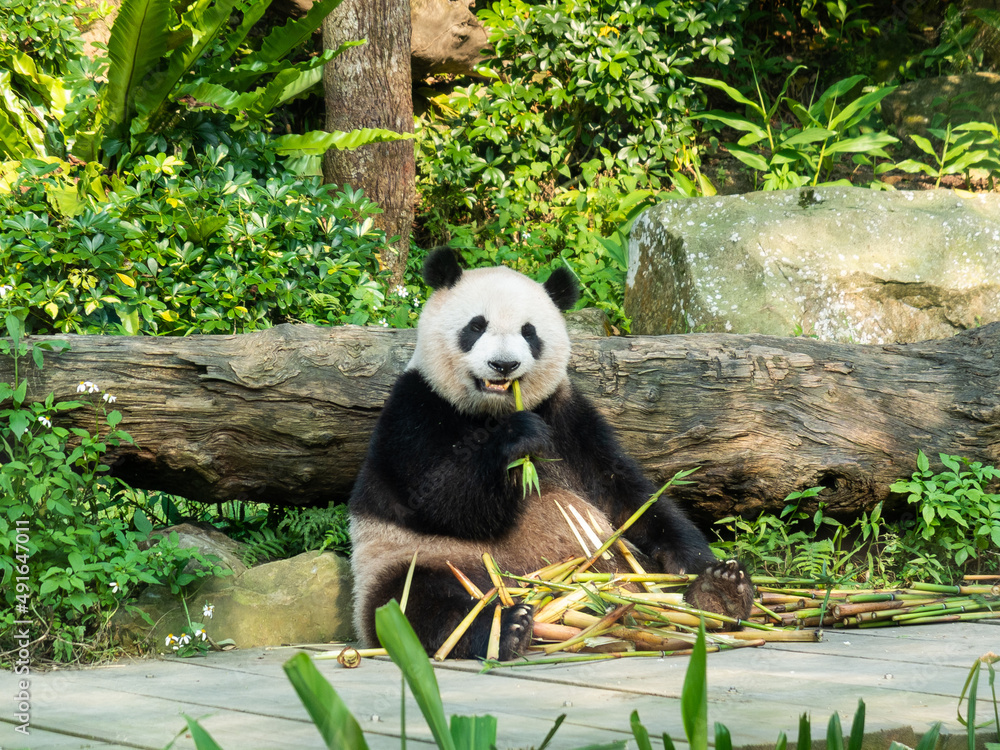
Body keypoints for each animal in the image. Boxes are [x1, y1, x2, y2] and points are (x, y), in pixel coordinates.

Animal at [349, 249, 754, 660]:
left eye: (529, 332)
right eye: (476, 326)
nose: (504, 364)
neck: (493, 411)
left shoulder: (567, 418)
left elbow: (626, 495)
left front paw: (701, 564)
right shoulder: (415, 408)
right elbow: (442, 501)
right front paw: (519, 439)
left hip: (621, 562)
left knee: (649, 577)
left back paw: (718, 593)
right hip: (414, 557)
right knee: (416, 602)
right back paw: (506, 626)